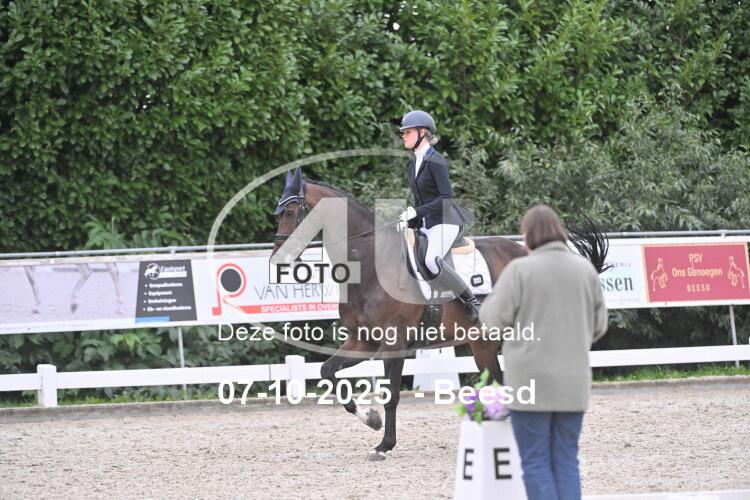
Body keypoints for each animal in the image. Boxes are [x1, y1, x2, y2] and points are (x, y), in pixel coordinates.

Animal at [271, 168, 608, 461]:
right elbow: (328, 372)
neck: (369, 267)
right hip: (483, 343)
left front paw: (384, 445)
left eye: (291, 212)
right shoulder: (362, 341)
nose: (278, 259)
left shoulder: (393, 344)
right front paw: (371, 419)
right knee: (499, 382)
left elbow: (391, 394)